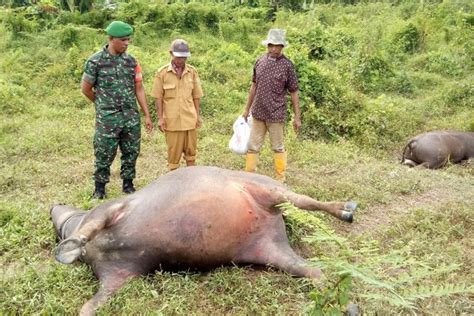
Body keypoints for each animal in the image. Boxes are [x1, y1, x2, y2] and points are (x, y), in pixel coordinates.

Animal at [51, 167, 356, 314]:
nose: (53, 206)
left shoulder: (110, 210)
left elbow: (87, 230)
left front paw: (68, 248)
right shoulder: (117, 276)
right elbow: (87, 308)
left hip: (270, 191)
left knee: (305, 201)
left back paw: (346, 210)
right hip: (270, 249)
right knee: (313, 270)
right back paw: (345, 303)